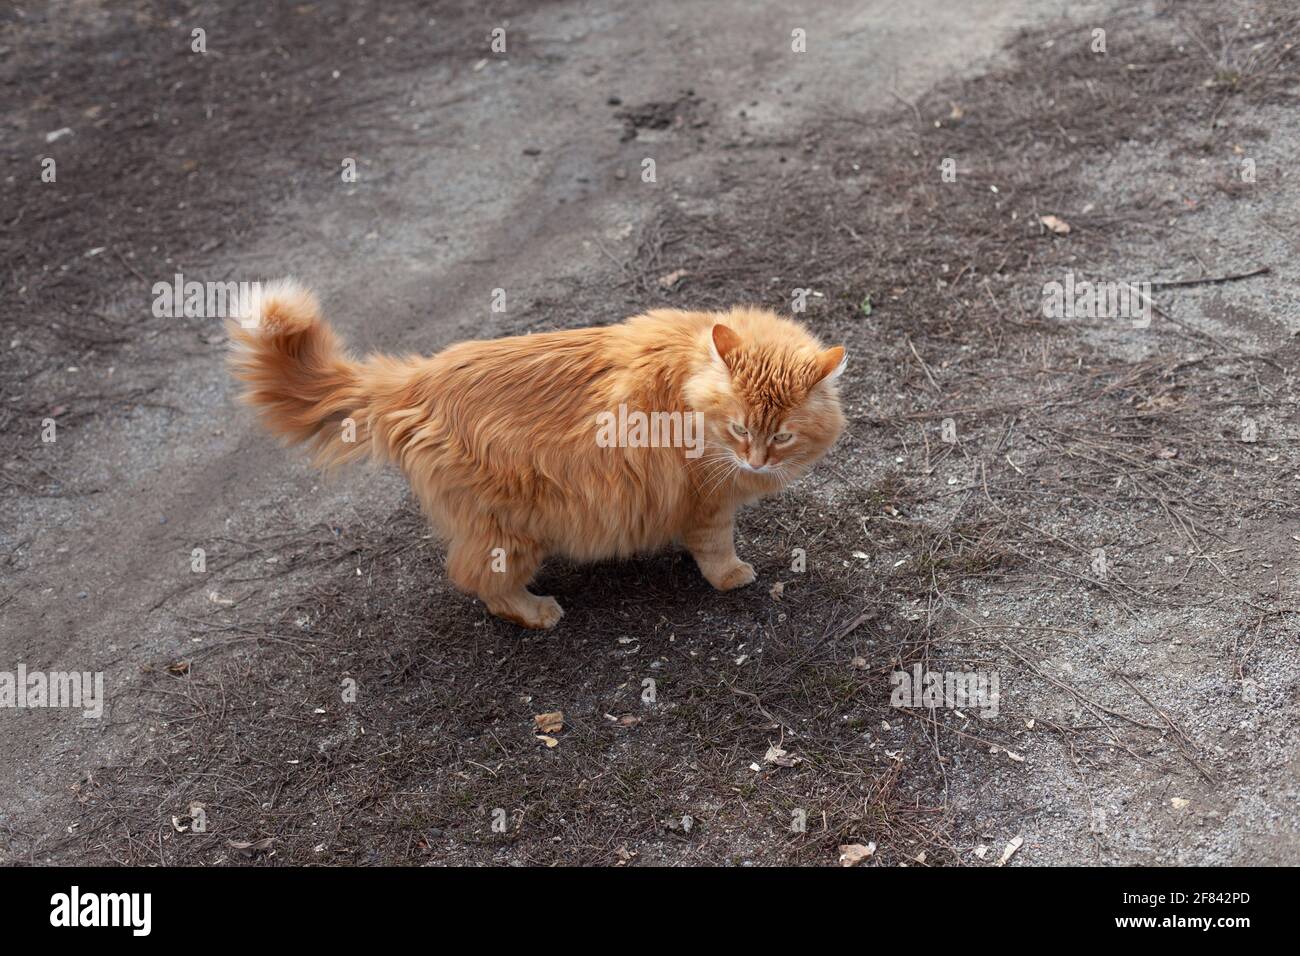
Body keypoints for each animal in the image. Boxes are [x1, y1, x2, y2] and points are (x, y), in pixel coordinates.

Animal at [228, 280, 847, 632]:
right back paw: (537, 612)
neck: (690, 385)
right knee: (479, 580)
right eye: (740, 428)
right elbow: (716, 550)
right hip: (511, 531)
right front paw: (733, 576)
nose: (757, 463)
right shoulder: (708, 501)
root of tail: (414, 380)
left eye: (781, 437)